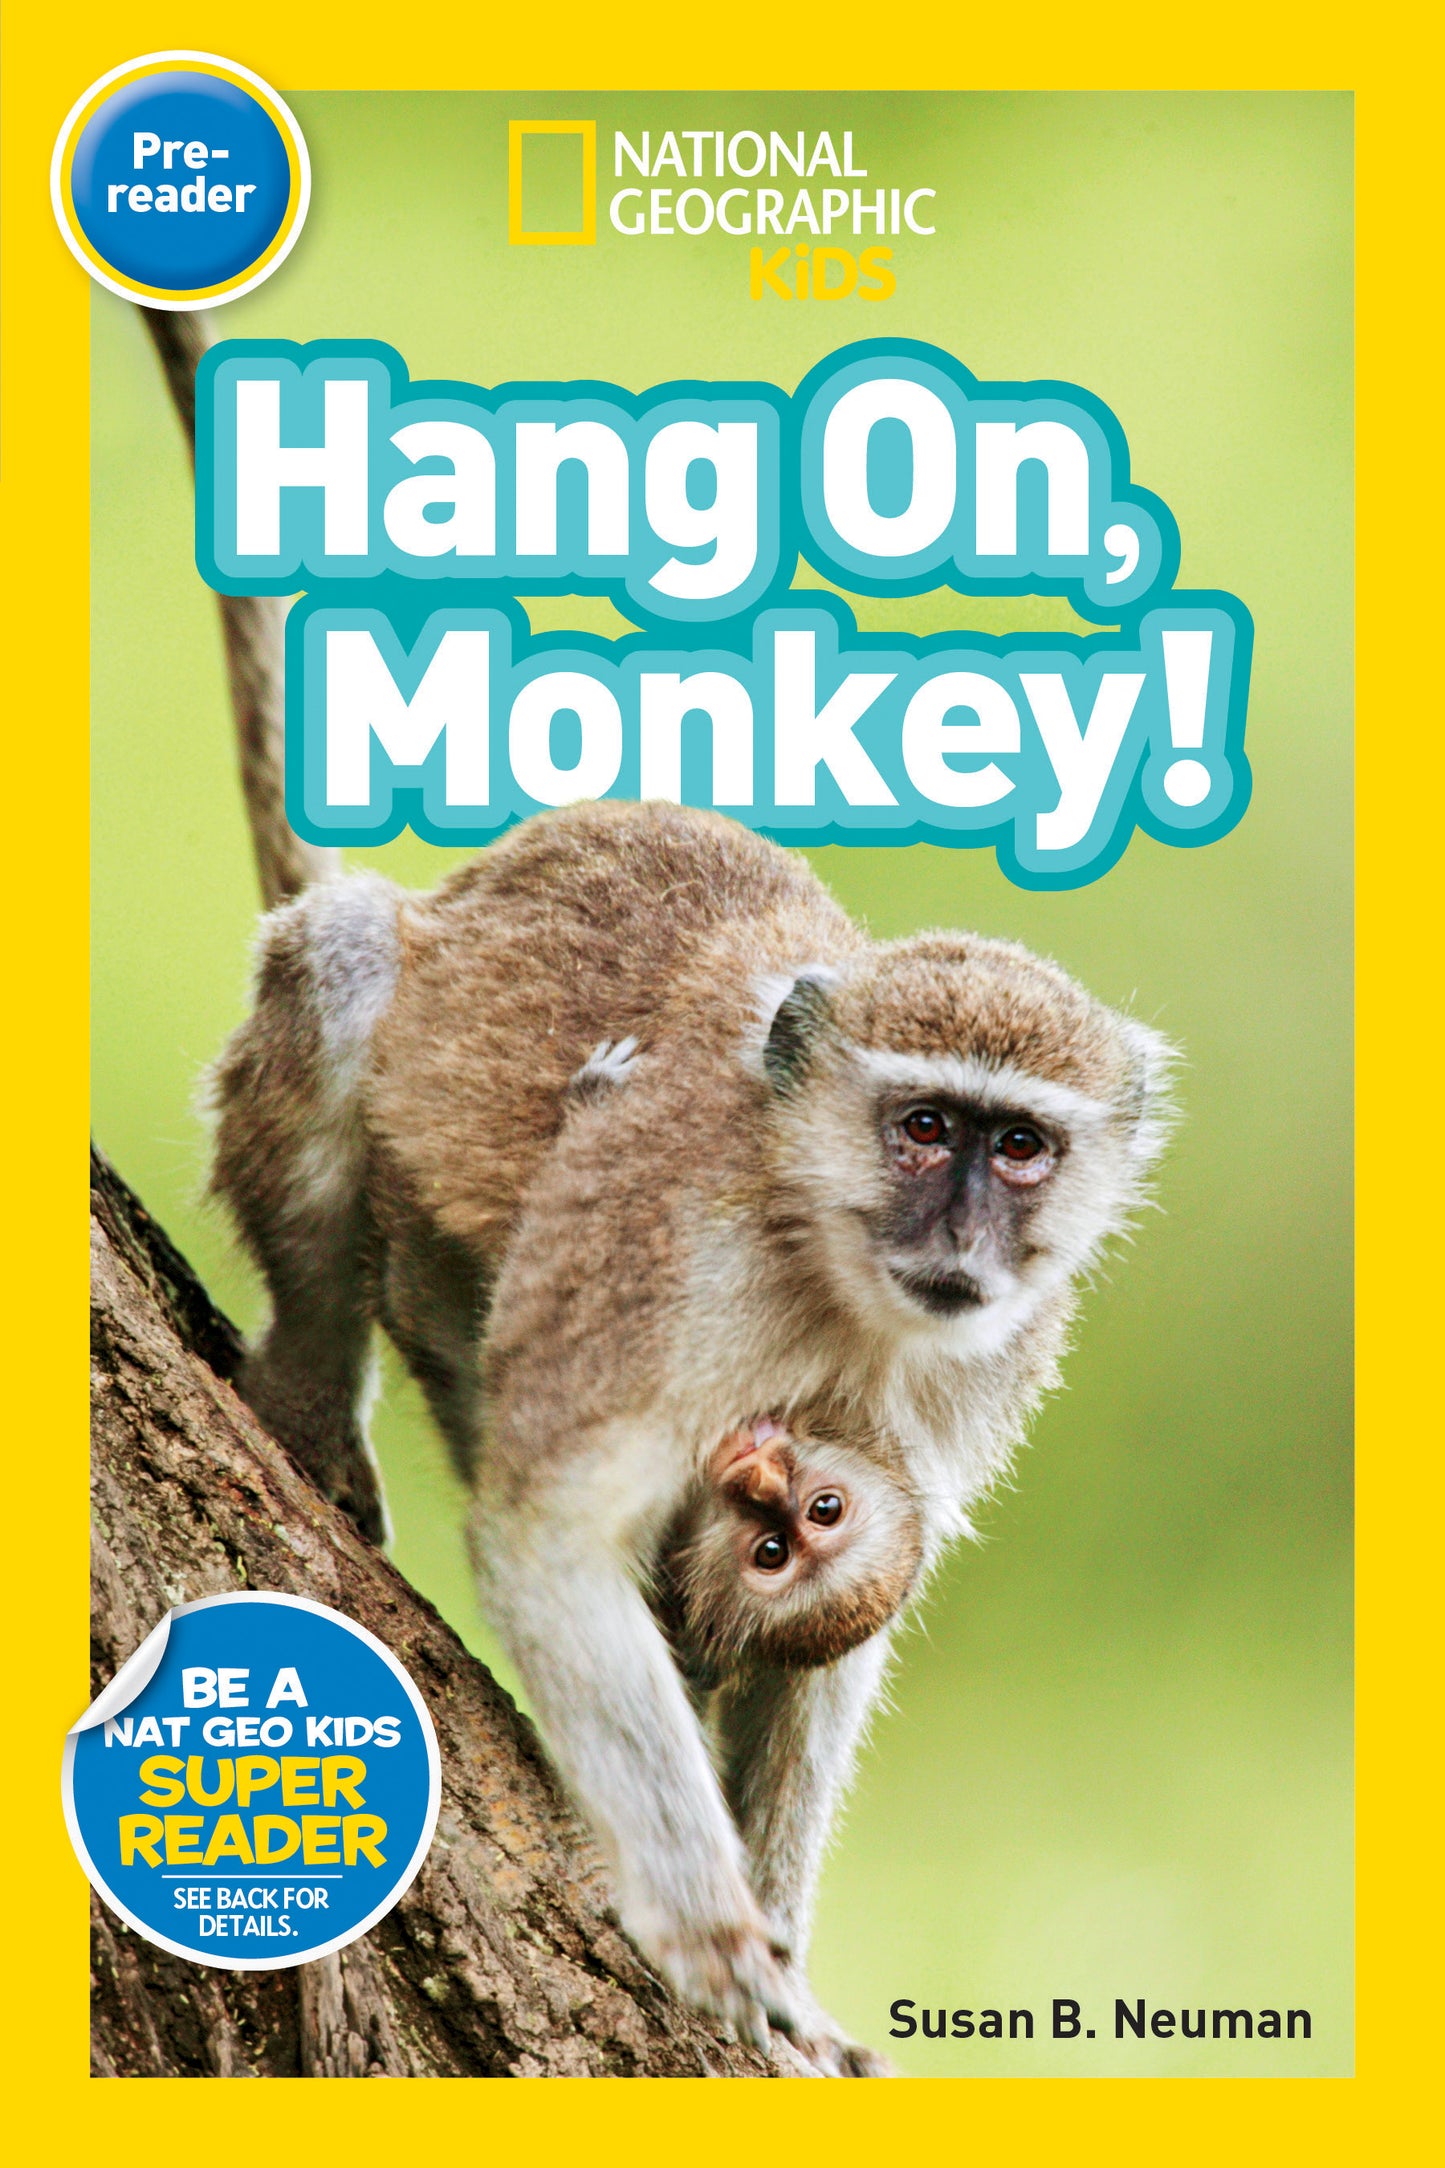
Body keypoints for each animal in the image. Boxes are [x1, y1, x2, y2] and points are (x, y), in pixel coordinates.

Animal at [145, 307, 1176, 2074]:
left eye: (1022, 1147)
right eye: (926, 1128)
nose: (964, 1235)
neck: (832, 1270)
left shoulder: (978, 1369)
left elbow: (844, 1632)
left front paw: (787, 1976)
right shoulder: (662, 1256)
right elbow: (557, 1529)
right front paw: (712, 1931)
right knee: (344, 962)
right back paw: (309, 1384)